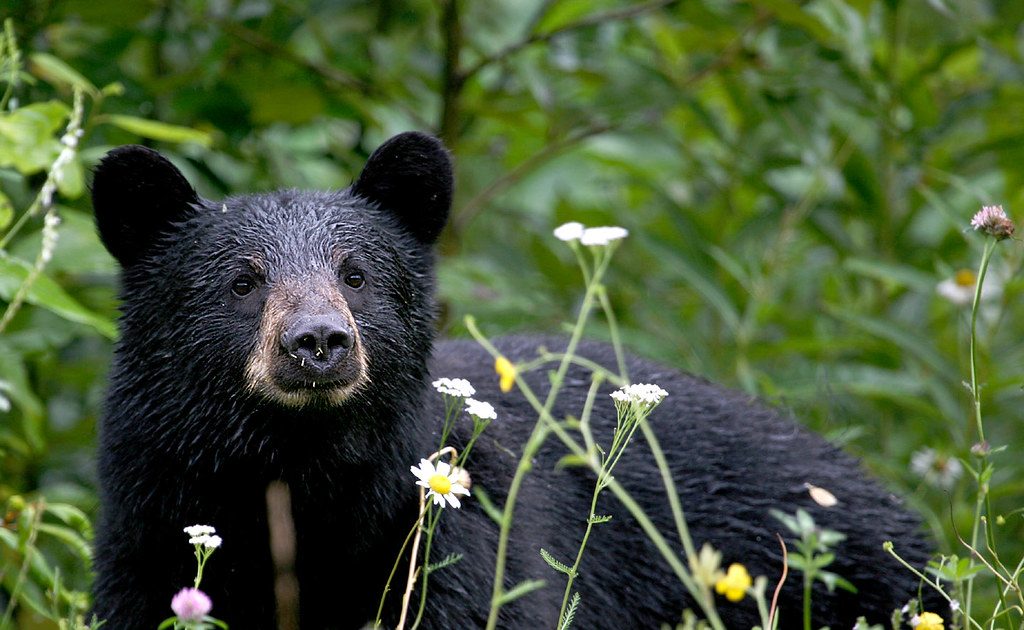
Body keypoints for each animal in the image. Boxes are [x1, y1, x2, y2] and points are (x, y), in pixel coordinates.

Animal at [89, 131, 937, 629]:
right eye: (242, 281)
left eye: (356, 275)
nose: (319, 342)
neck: (299, 476)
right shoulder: (152, 517)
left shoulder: (453, 538)